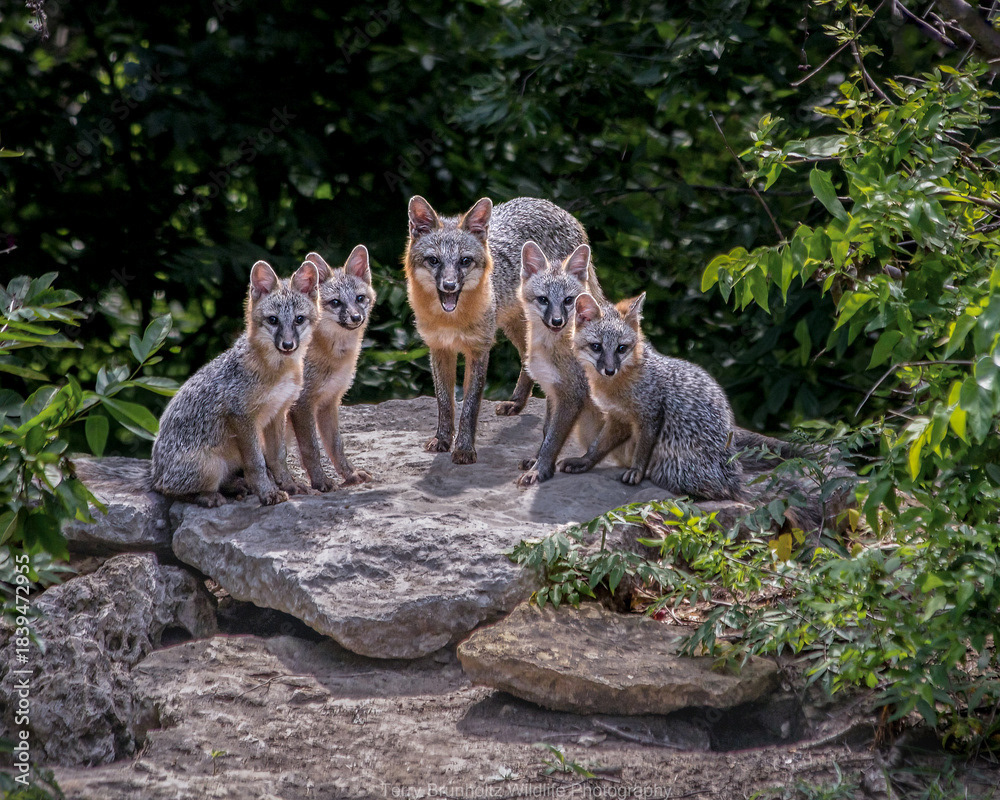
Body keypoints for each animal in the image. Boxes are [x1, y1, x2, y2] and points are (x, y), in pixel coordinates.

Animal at [150, 259, 320, 507]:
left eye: (299, 319)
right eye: (273, 320)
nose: (288, 345)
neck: (279, 371)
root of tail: (154, 473)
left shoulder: (278, 412)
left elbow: (278, 457)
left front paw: (289, 485)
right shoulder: (241, 415)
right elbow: (257, 463)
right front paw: (268, 493)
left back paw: (237, 487)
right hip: (209, 467)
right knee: (169, 489)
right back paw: (210, 496)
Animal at [285, 245, 376, 492]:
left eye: (360, 298)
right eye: (336, 303)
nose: (356, 317)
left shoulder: (329, 402)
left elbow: (336, 446)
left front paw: (350, 474)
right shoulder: (302, 404)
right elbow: (311, 450)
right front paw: (320, 481)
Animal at [404, 196, 587, 464]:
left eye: (465, 261)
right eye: (434, 260)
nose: (449, 285)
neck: (451, 320)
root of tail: (546, 203)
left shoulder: (479, 349)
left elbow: (470, 406)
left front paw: (464, 448)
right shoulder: (439, 348)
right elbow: (445, 402)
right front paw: (442, 439)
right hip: (517, 326)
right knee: (526, 358)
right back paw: (517, 403)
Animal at [515, 241, 613, 486]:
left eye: (568, 300)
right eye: (543, 299)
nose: (557, 321)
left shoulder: (571, 395)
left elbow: (553, 439)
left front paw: (539, 470)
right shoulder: (552, 390)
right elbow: (545, 431)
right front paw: (536, 460)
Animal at [560, 292, 745, 501]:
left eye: (621, 348)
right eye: (597, 347)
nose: (609, 370)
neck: (616, 387)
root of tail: (733, 479)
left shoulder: (651, 415)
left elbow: (642, 450)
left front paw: (636, 471)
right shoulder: (619, 417)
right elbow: (598, 445)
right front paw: (584, 461)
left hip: (673, 465)